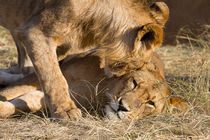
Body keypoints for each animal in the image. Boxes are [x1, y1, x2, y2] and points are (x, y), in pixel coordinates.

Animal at [0, 0, 169, 118]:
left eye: (150, 103)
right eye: (134, 81)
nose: (122, 106)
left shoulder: (63, 49)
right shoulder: (37, 33)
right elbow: (53, 78)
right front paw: (66, 111)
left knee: (22, 68)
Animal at [0, 52, 188, 119]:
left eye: (150, 103)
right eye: (134, 83)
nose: (122, 107)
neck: (103, 88)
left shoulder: (49, 98)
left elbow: (21, 104)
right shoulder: (55, 73)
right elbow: (11, 92)